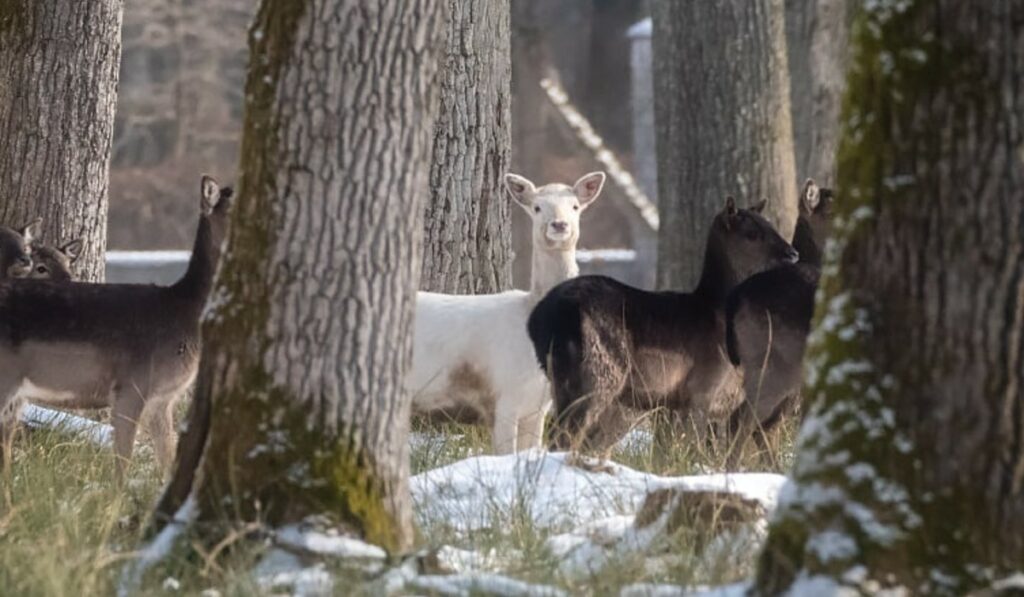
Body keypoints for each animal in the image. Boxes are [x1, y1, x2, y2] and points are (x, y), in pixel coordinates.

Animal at [527, 197, 798, 454]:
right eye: (752, 233)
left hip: (561, 380)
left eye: (771, 225)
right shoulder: (702, 388)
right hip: (598, 372)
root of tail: (541, 321)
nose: (793, 254)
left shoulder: (679, 401)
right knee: (566, 435)